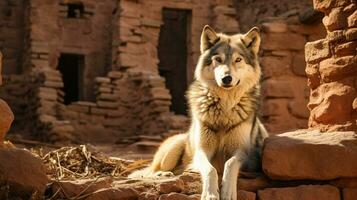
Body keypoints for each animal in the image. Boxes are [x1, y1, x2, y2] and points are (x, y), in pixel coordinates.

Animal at [129, 25, 266, 200]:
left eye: (238, 60)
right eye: (218, 59)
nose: (226, 78)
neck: (225, 106)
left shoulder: (242, 152)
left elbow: (230, 164)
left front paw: (228, 192)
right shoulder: (202, 150)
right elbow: (210, 169)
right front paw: (210, 194)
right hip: (175, 147)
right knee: (149, 172)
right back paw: (163, 174)